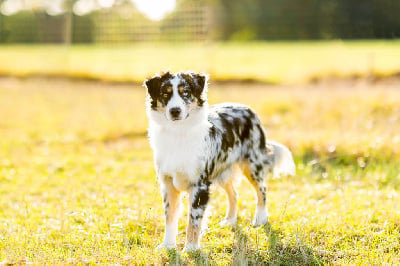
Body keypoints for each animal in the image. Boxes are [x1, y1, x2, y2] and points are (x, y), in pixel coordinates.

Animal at [144, 70, 294, 251]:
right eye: (165, 93)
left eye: (185, 92)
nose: (175, 111)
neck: (178, 132)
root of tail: (247, 109)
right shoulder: (168, 184)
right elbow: (170, 217)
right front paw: (168, 245)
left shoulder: (200, 184)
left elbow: (193, 220)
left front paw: (191, 248)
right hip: (223, 171)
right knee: (234, 194)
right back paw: (229, 220)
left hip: (252, 165)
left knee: (262, 190)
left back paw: (260, 218)